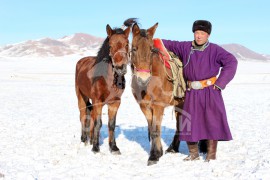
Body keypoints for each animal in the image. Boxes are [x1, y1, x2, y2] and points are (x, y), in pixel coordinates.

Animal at [75, 20, 132, 153]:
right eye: (110, 45)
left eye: (127, 44)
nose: (120, 68)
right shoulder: (98, 101)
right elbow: (98, 123)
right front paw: (96, 148)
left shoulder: (115, 103)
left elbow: (111, 124)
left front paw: (114, 147)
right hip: (81, 96)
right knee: (83, 116)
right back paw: (84, 140)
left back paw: (90, 139)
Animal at [130, 22, 185, 165]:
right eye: (134, 48)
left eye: (151, 49)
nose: (143, 78)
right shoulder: (144, 106)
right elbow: (152, 128)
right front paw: (158, 152)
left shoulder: (158, 106)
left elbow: (155, 129)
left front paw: (154, 156)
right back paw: (173, 147)